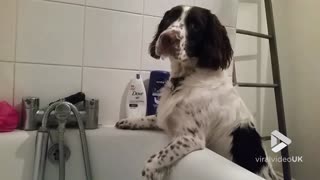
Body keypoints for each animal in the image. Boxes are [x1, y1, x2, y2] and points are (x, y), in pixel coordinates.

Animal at [116, 4, 278, 180]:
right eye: (169, 18)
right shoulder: (166, 119)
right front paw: (128, 121)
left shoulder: (190, 138)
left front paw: (152, 173)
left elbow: (155, 159)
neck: (186, 78)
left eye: (195, 25)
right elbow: (149, 117)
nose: (166, 38)